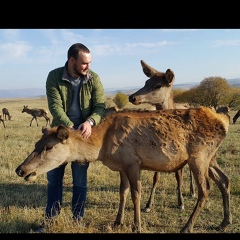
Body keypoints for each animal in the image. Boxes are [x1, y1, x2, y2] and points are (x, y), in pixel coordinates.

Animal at [15, 107, 232, 232]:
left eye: (48, 147)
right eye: (36, 143)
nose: (21, 169)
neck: (102, 147)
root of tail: (224, 121)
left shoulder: (132, 162)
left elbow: (136, 194)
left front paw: (137, 226)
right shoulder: (121, 167)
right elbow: (123, 193)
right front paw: (117, 221)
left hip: (199, 156)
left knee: (205, 190)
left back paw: (187, 227)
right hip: (211, 157)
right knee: (224, 180)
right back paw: (224, 222)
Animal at [128, 59, 194, 212]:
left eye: (158, 85)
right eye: (146, 82)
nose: (132, 97)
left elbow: (178, 176)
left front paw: (181, 202)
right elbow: (156, 177)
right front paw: (148, 204)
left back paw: (192, 191)